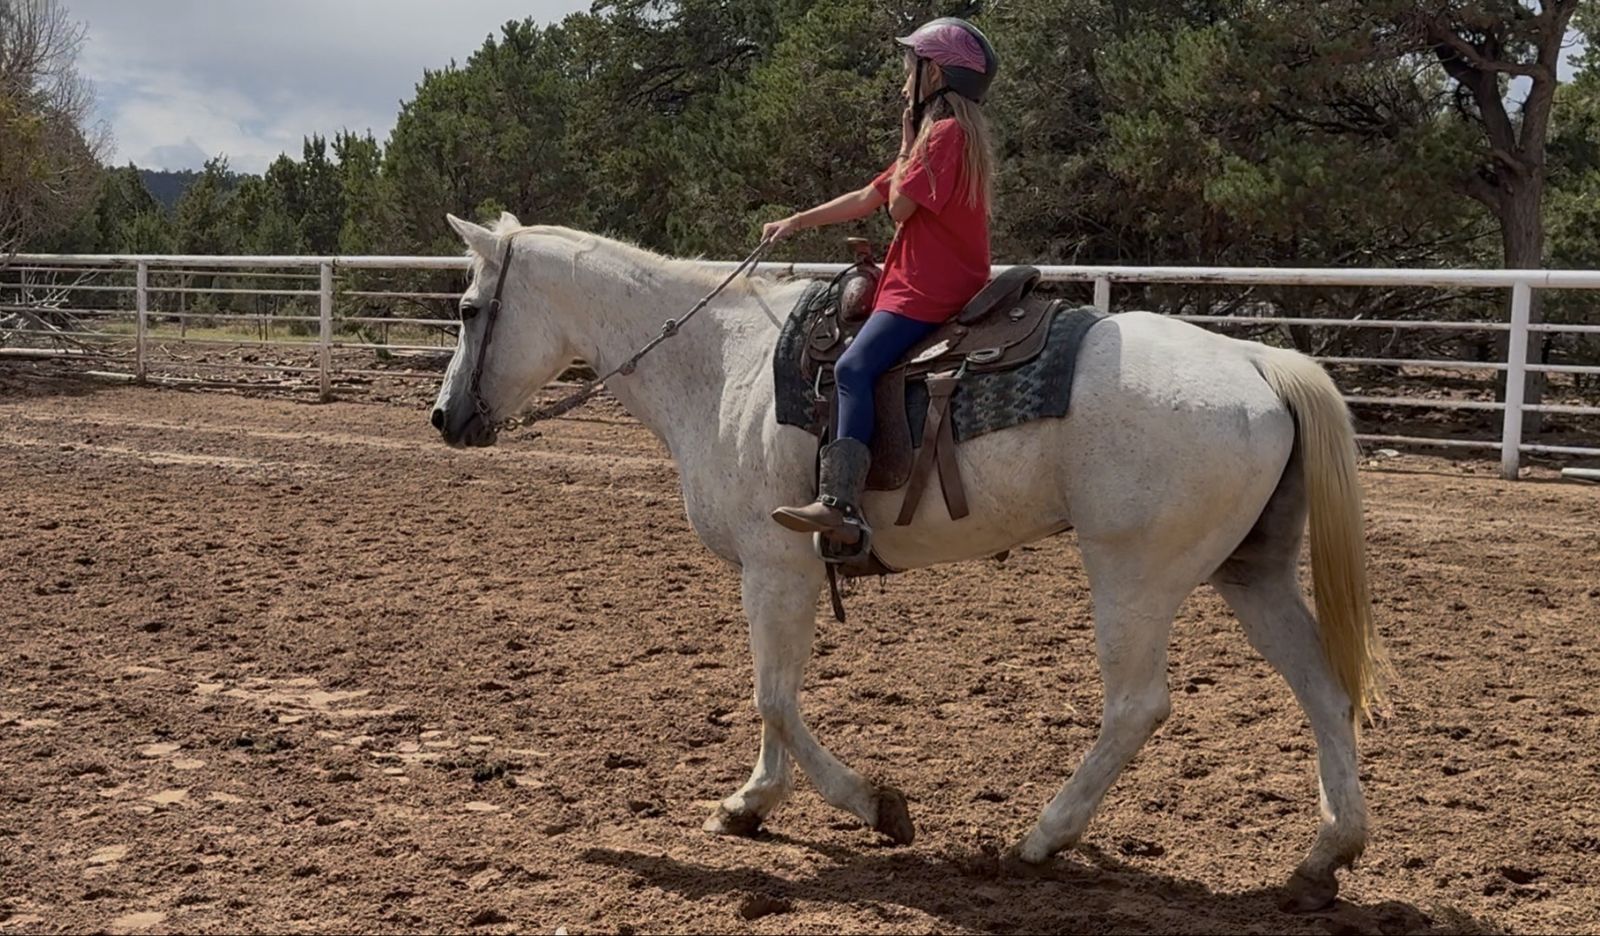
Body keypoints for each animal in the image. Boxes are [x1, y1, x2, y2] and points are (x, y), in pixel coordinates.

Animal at [429, 213, 1388, 911]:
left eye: (471, 308)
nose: (443, 418)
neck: (723, 365)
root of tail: (1258, 362)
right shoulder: (781, 574)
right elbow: (773, 694)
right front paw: (750, 804)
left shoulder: (774, 566)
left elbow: (773, 696)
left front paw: (875, 806)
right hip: (1250, 573)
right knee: (1321, 686)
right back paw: (1321, 860)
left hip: (1134, 576)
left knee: (1137, 707)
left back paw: (1041, 839)